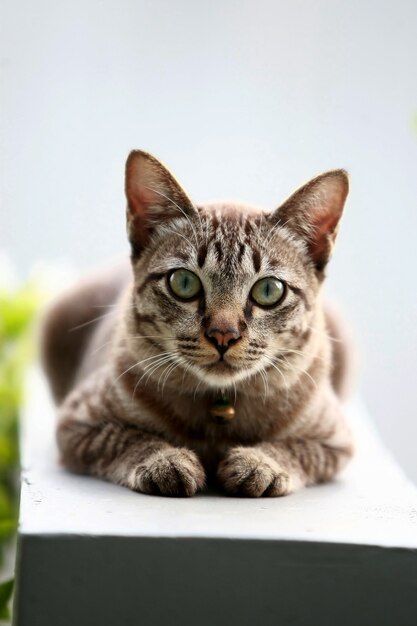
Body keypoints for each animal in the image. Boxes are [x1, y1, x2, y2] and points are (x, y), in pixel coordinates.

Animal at [42, 149, 352, 494]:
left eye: (269, 290)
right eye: (184, 283)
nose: (223, 335)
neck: (218, 410)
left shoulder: (335, 439)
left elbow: (296, 450)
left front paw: (258, 463)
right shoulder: (78, 422)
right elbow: (126, 438)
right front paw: (166, 460)